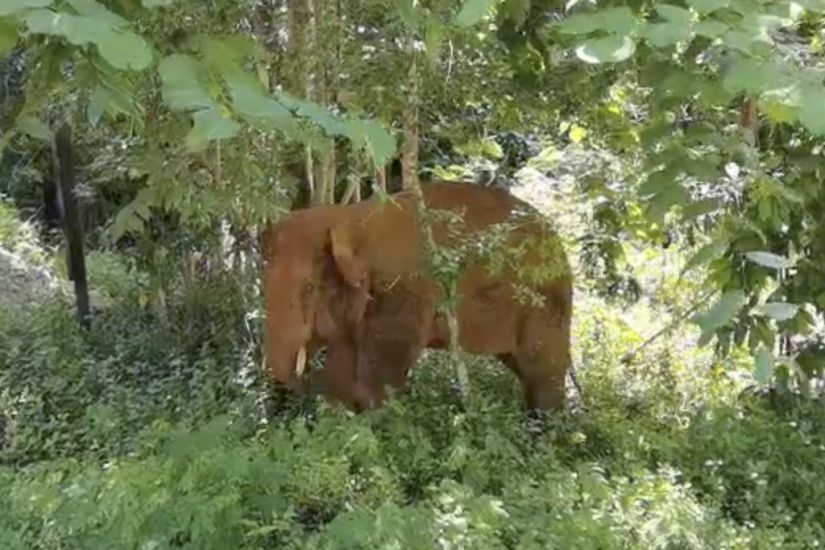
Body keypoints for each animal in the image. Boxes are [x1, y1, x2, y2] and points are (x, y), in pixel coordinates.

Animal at [260, 182, 568, 414]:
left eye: (309, 288)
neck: (347, 218)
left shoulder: (404, 291)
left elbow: (385, 367)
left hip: (547, 303)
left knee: (541, 371)